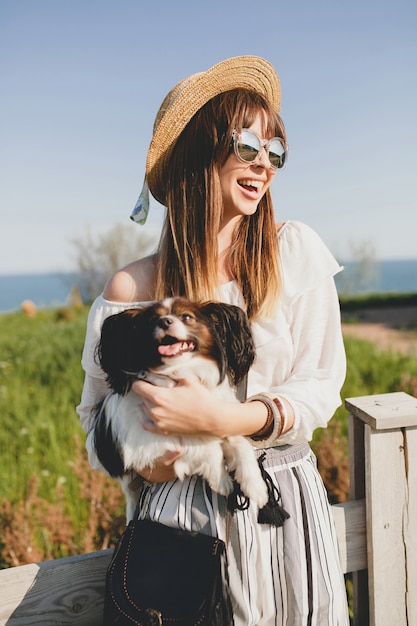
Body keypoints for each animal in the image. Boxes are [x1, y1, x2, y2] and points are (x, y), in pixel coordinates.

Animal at [91, 296, 266, 516]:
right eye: (153, 321)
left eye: (186, 317)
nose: (164, 321)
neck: (181, 370)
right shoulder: (147, 445)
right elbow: (208, 448)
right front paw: (222, 480)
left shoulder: (219, 418)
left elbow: (240, 444)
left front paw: (255, 486)